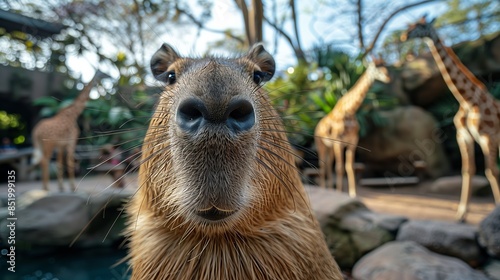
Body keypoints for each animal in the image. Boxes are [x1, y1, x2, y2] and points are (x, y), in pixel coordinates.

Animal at [314, 60, 392, 198]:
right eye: (375, 67)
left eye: (385, 65)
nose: (388, 77)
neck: (350, 111)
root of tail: (317, 125)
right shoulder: (339, 142)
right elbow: (339, 168)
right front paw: (340, 193)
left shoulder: (353, 142)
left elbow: (349, 167)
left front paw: (353, 193)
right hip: (320, 144)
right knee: (321, 165)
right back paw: (324, 189)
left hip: (330, 147)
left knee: (327, 164)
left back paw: (330, 190)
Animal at [402, 16, 500, 222]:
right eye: (410, 25)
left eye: (421, 25)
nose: (404, 36)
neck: (468, 100)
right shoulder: (463, 136)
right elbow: (468, 171)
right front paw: (461, 214)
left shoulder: (487, 136)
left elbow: (491, 171)